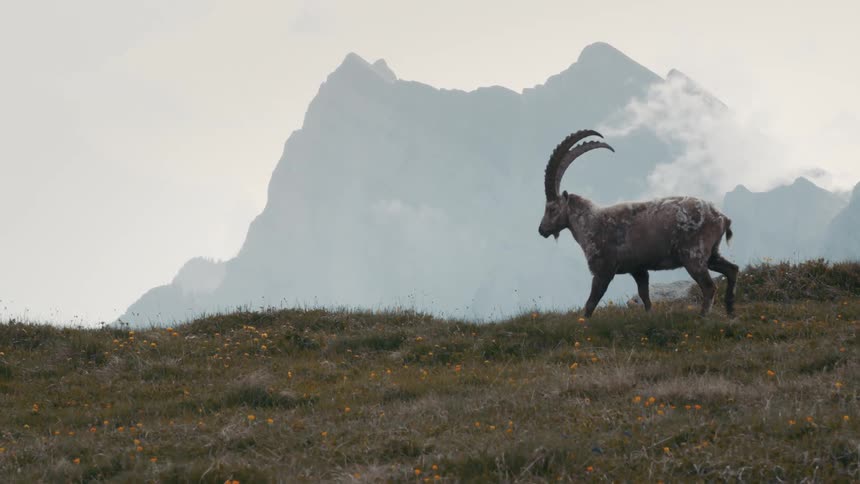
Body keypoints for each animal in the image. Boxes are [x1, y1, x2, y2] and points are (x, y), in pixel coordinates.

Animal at [538, 130, 739, 317]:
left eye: (552, 209)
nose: (541, 230)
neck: (589, 223)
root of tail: (721, 216)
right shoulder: (638, 269)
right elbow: (645, 297)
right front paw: (650, 317)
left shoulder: (603, 270)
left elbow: (591, 303)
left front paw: (583, 325)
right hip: (711, 254)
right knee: (732, 269)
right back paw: (730, 311)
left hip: (693, 255)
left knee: (709, 286)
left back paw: (703, 317)